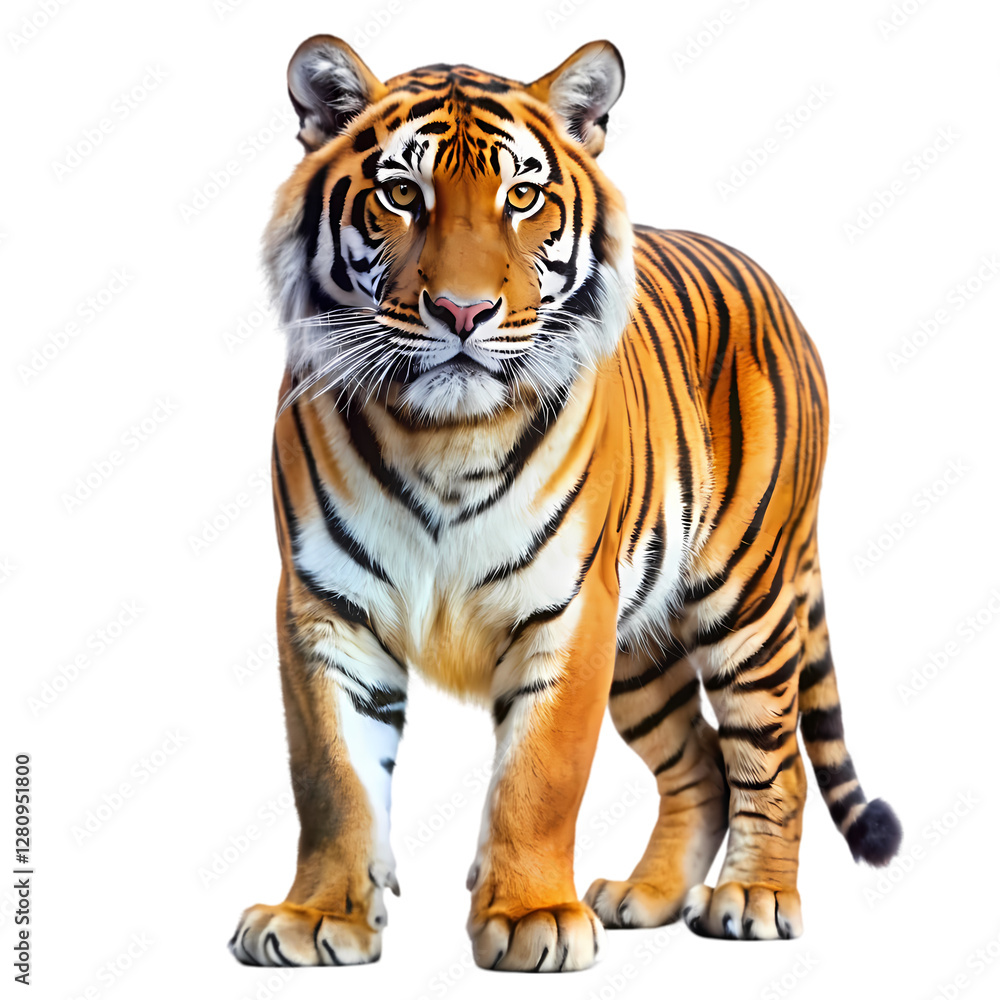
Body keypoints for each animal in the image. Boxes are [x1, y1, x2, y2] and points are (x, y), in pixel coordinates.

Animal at [228, 35, 903, 971]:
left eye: (522, 196)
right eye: (402, 194)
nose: (463, 311)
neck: (444, 436)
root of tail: (773, 285)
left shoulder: (569, 607)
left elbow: (540, 775)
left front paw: (531, 917)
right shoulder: (325, 606)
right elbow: (331, 775)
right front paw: (317, 916)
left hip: (749, 601)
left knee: (773, 759)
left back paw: (756, 899)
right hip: (644, 650)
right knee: (698, 762)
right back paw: (646, 897)